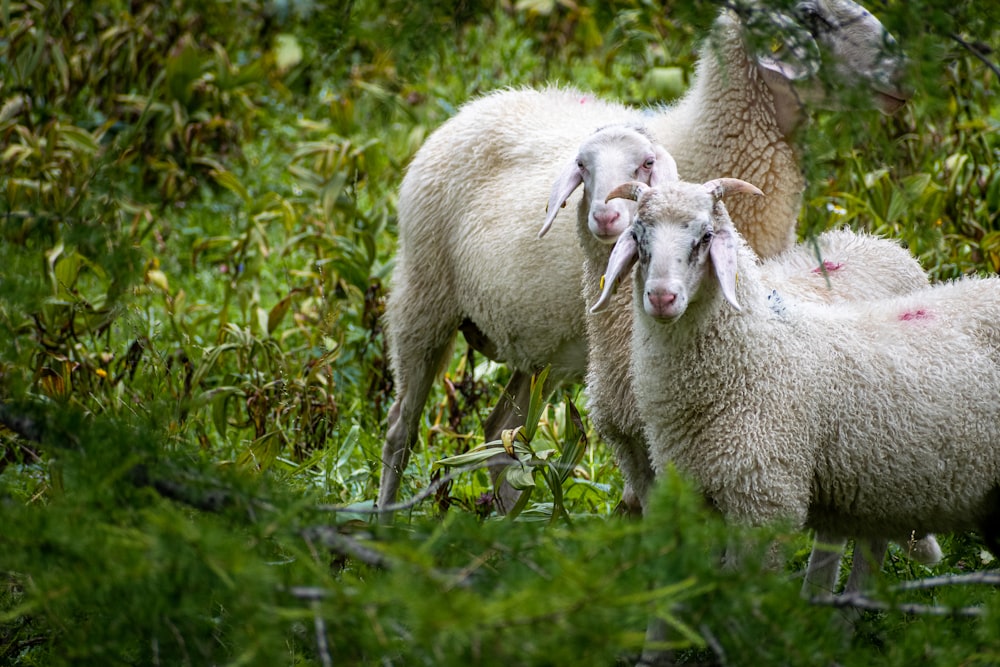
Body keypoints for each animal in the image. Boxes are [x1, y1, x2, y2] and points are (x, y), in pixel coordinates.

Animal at [378, 0, 912, 516]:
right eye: (813, 17)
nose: (903, 74)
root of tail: (475, 105)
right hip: (423, 294)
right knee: (400, 428)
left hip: (540, 349)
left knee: (501, 431)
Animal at [588, 180, 1000, 568]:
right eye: (638, 235)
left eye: (706, 236)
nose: (661, 297)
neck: (754, 355)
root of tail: (877, 239)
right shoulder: (698, 496)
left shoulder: (766, 500)